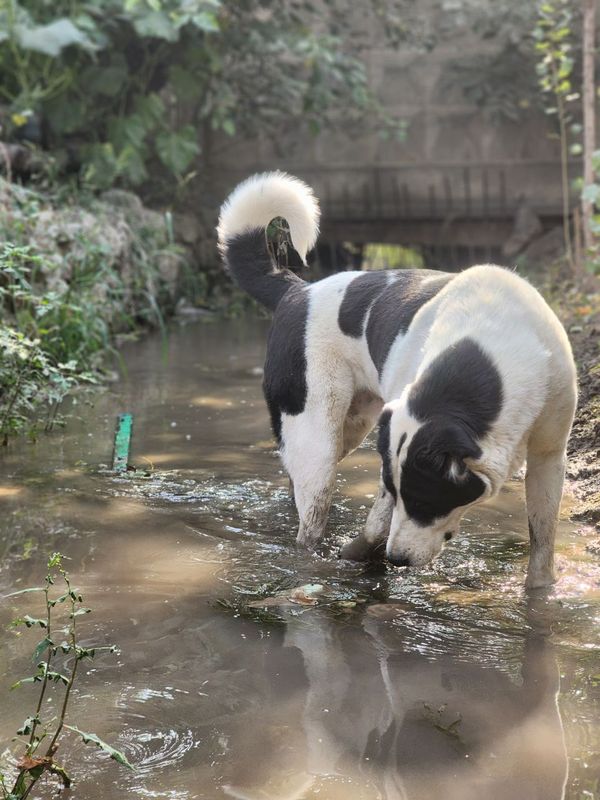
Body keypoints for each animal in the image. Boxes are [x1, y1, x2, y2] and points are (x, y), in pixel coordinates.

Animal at [217, 173, 576, 588]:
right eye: (401, 492)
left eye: (424, 501)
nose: (398, 558)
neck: (492, 345)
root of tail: (297, 291)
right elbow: (377, 524)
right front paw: (358, 555)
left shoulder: (549, 457)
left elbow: (542, 537)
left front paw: (542, 592)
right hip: (315, 438)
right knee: (311, 518)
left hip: (350, 427)